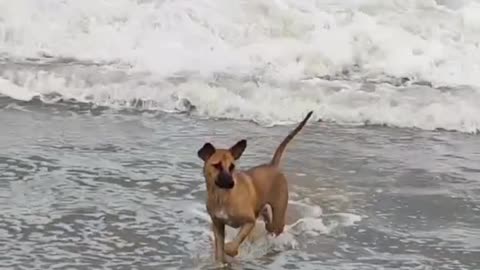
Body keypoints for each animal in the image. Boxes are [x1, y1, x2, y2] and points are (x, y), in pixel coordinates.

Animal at [197, 110, 314, 264]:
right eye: (216, 165)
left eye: (232, 166)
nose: (231, 183)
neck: (222, 196)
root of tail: (273, 165)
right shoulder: (217, 224)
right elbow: (219, 250)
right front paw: (221, 261)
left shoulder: (249, 222)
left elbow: (232, 245)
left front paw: (231, 251)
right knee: (266, 217)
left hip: (279, 214)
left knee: (274, 227)